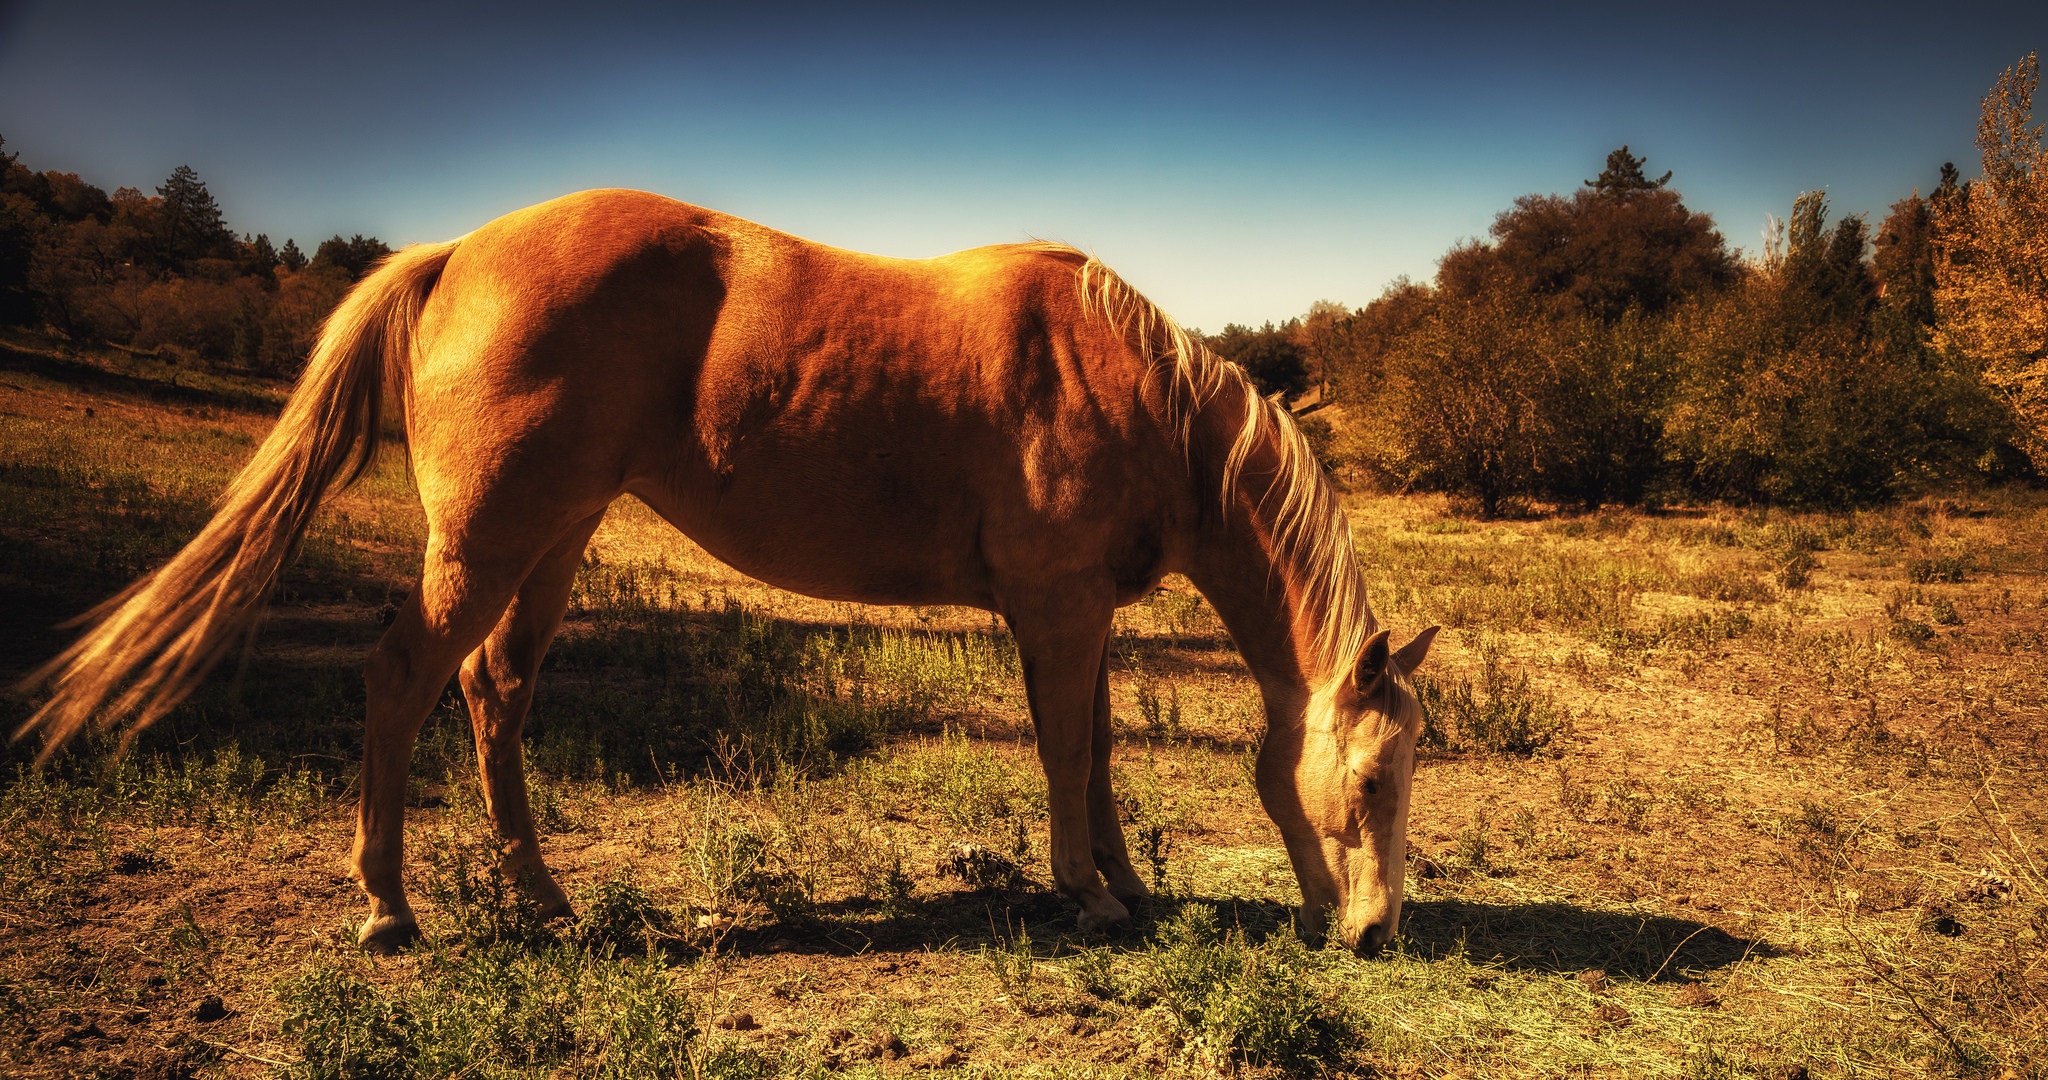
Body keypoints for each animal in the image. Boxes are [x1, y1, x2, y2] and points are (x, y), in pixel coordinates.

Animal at [16, 192, 1433, 954]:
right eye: (1372, 778)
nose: (1372, 933)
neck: (1134, 389)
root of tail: (459, 249)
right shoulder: (1058, 608)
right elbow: (1068, 753)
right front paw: (1086, 896)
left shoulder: (1077, 614)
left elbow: (1094, 755)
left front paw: (1125, 891)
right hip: (487, 542)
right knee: (402, 679)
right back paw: (387, 908)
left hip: (554, 538)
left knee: (492, 693)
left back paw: (543, 898)